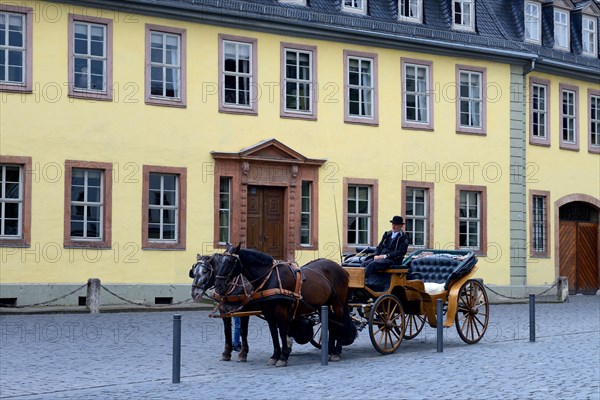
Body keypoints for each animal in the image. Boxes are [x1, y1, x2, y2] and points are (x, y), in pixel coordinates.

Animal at [213, 244, 354, 366]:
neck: (270, 278)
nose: (218, 285)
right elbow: (274, 333)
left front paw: (283, 356)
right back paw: (330, 350)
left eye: (229, 262)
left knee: (339, 324)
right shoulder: (268, 312)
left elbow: (282, 331)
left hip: (338, 304)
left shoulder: (281, 310)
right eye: (221, 261)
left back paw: (336, 352)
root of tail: (342, 269)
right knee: (331, 324)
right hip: (324, 304)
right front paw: (275, 355)